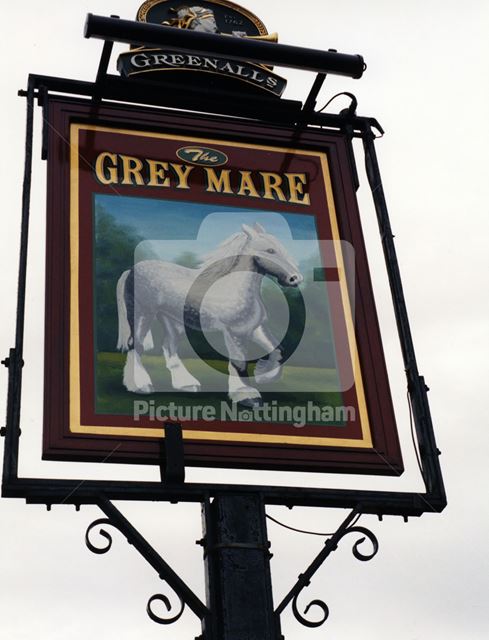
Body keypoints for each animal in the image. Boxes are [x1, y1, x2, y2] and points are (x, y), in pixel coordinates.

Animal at [117, 224, 304, 404]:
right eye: (270, 250)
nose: (295, 278)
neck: (235, 288)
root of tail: (131, 270)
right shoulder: (235, 332)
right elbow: (239, 363)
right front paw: (246, 396)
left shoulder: (255, 328)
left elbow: (278, 351)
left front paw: (263, 376)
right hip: (142, 314)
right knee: (136, 345)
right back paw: (140, 385)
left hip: (171, 320)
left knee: (169, 347)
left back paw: (186, 384)